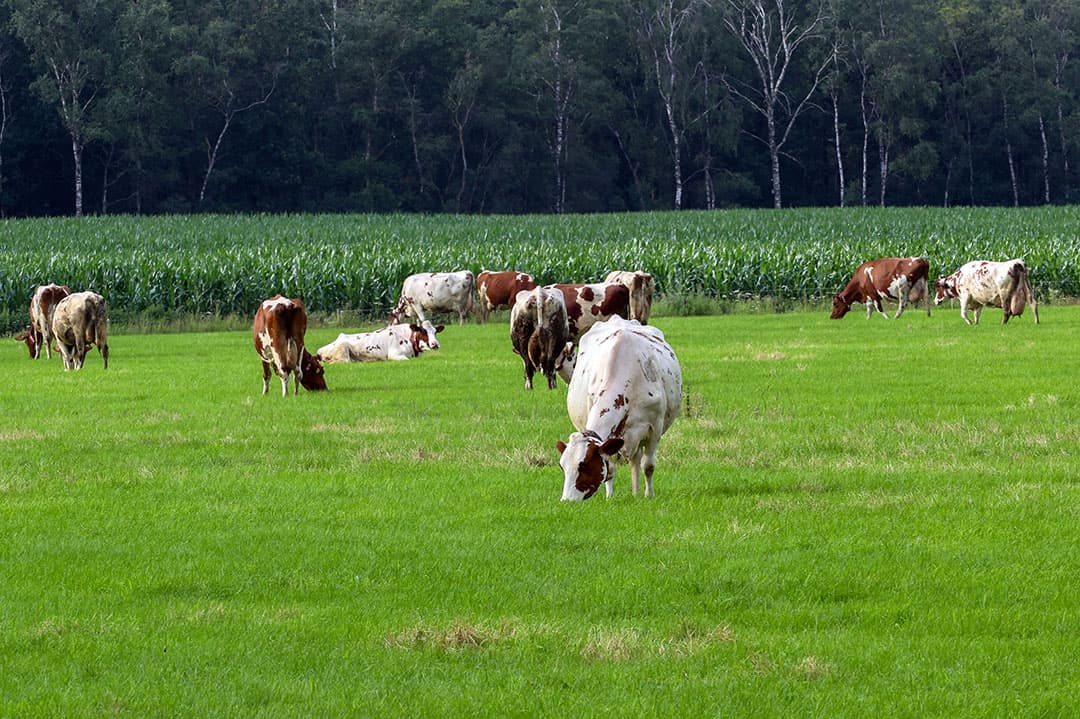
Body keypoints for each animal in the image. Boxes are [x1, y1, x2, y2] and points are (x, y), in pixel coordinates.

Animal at [556, 316, 682, 501]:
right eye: (562, 467)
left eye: (584, 466)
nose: (567, 501)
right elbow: (610, 470)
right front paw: (610, 497)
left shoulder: (655, 428)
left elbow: (648, 465)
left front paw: (649, 495)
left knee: (637, 461)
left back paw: (637, 492)